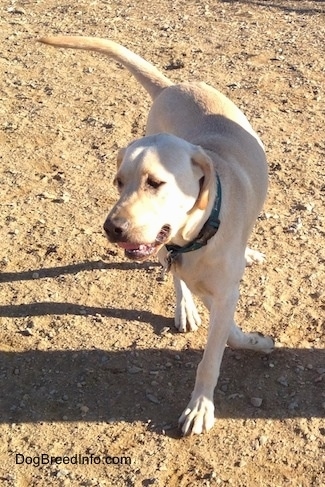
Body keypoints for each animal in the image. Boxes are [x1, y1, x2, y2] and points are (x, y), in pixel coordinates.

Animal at [39, 37, 274, 434]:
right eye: (119, 181)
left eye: (155, 182)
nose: (112, 228)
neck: (198, 236)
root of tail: (172, 85)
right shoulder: (195, 275)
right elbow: (217, 333)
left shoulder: (224, 290)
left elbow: (219, 344)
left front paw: (203, 401)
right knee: (175, 276)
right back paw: (185, 308)